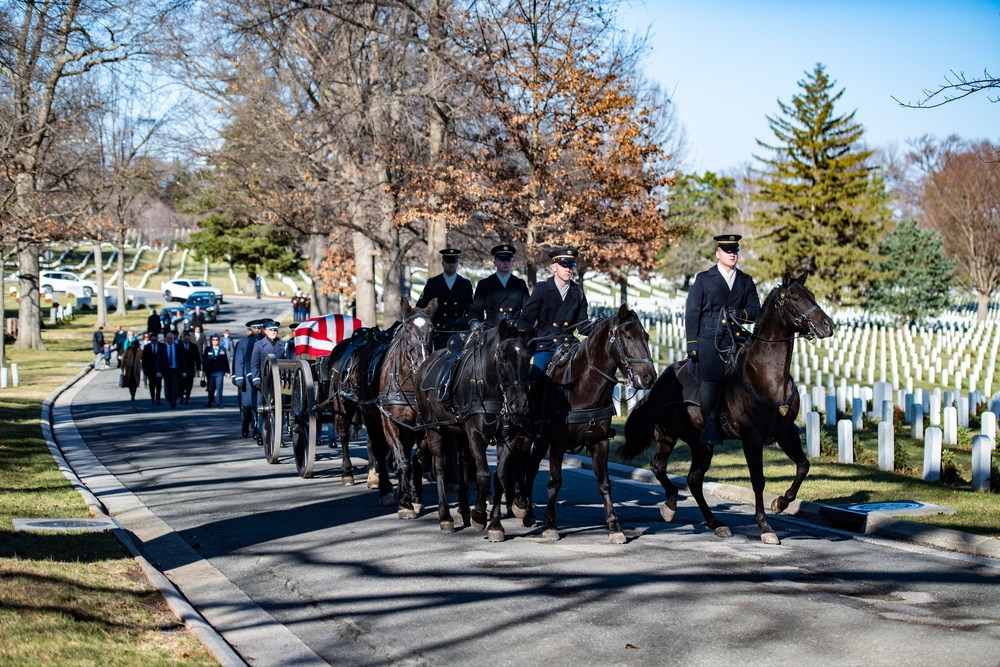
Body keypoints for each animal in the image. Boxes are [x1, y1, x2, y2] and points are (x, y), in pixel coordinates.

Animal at [358, 298, 440, 512]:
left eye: (433, 329)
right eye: (408, 329)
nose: (422, 362)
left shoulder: (422, 424)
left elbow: (418, 460)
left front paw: (414, 496)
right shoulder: (390, 421)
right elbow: (401, 460)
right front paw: (405, 503)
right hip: (370, 418)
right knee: (378, 450)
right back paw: (386, 489)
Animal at [414, 320, 540, 540]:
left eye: (527, 358)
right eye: (503, 357)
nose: (518, 404)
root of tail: (425, 364)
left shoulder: (509, 438)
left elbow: (500, 477)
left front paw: (495, 525)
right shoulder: (476, 435)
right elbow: (483, 476)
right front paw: (480, 516)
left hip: (459, 432)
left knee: (464, 464)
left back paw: (464, 509)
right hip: (434, 428)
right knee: (439, 466)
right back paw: (445, 516)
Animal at [516, 302, 656, 544]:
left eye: (646, 336)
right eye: (627, 335)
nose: (649, 377)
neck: (583, 385)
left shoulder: (600, 442)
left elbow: (604, 483)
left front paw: (614, 527)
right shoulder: (557, 442)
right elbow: (555, 481)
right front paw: (550, 525)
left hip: (541, 440)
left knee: (532, 466)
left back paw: (529, 512)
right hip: (528, 436)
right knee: (523, 464)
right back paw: (522, 507)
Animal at [620, 272, 832, 544]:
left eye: (812, 295)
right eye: (794, 298)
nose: (828, 325)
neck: (768, 376)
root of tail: (659, 381)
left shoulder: (785, 433)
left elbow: (803, 466)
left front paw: (781, 503)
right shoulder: (751, 437)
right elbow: (758, 479)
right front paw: (765, 526)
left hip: (702, 443)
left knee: (694, 479)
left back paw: (715, 522)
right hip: (668, 434)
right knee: (659, 466)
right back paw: (671, 505)